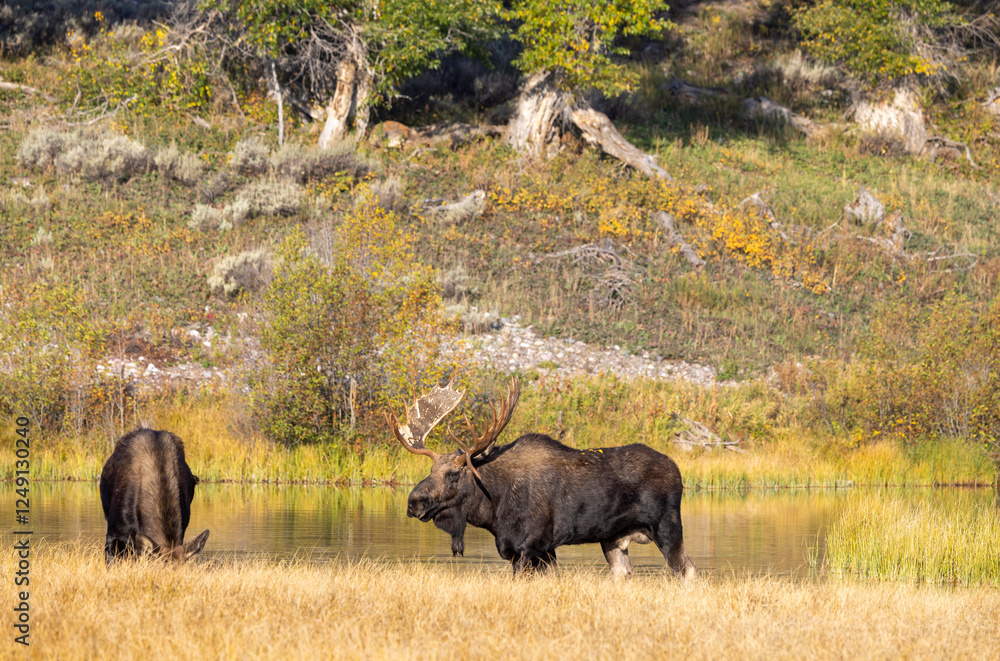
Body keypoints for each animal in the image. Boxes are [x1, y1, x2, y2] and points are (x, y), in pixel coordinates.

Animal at [386, 378, 696, 578]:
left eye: (453, 474)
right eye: (430, 471)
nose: (414, 502)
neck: (493, 508)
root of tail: (677, 471)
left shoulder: (531, 547)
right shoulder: (536, 551)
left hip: (667, 527)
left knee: (688, 571)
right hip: (613, 540)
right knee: (626, 573)